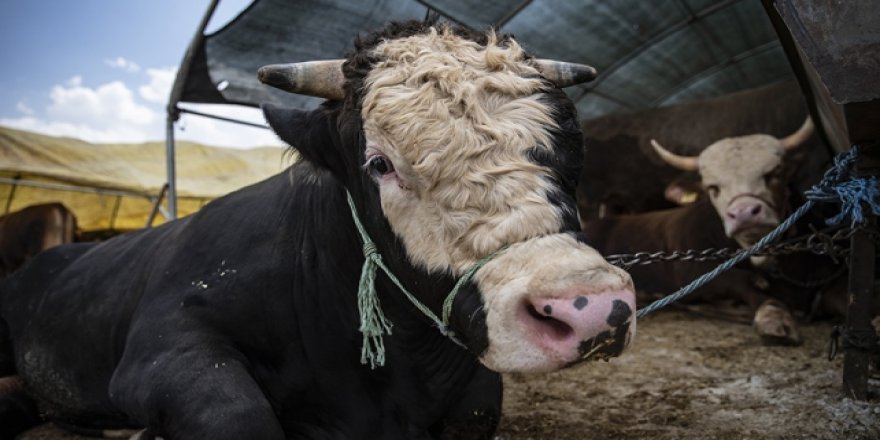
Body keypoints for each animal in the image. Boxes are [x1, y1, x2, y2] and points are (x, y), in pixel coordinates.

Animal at [584, 118, 820, 346]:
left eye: (775, 173)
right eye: (713, 188)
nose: (744, 213)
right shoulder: (690, 271)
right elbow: (740, 280)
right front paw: (774, 316)